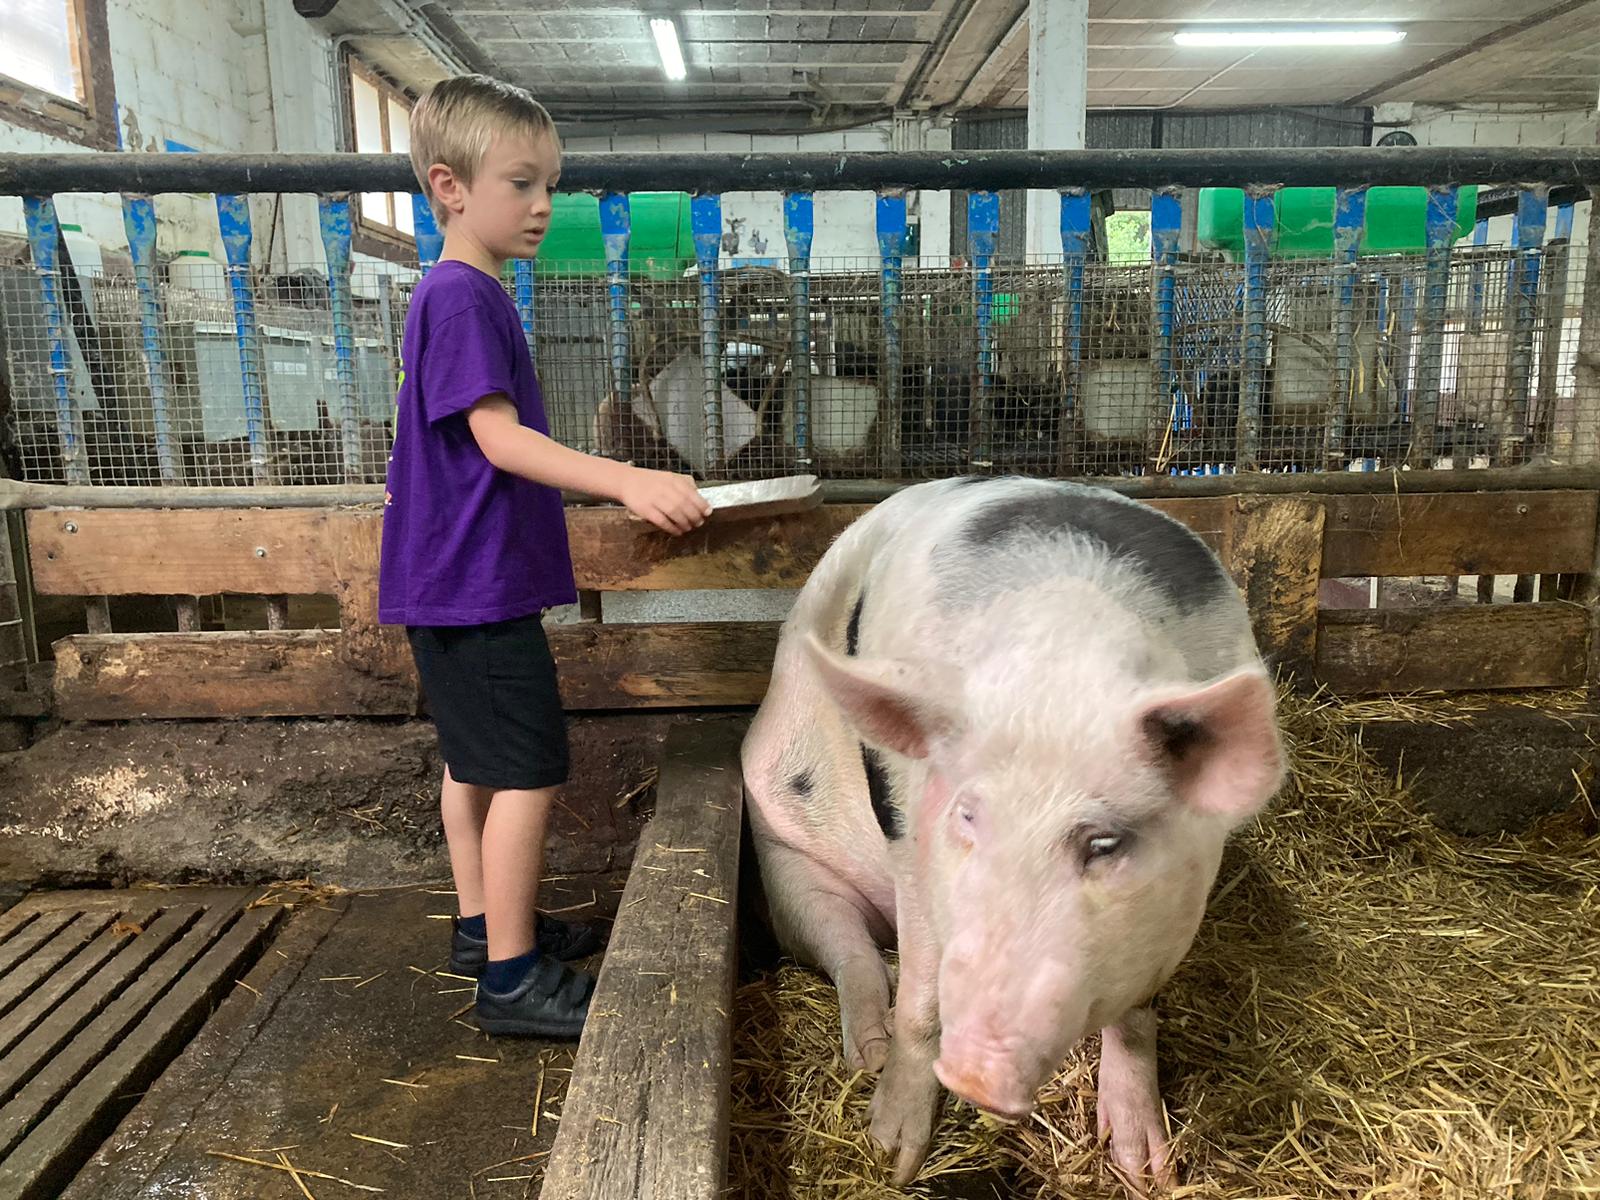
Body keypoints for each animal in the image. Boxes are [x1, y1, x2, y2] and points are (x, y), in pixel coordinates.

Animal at [740, 475, 1286, 1191]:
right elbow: (920, 995)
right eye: (967, 815)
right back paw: (869, 1052)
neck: (1061, 656)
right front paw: (891, 1157)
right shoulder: (906, 833)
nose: (978, 1072)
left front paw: (1147, 1173)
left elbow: (1137, 1016)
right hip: (784, 860)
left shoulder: (1189, 880)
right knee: (851, 953)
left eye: (1104, 843)